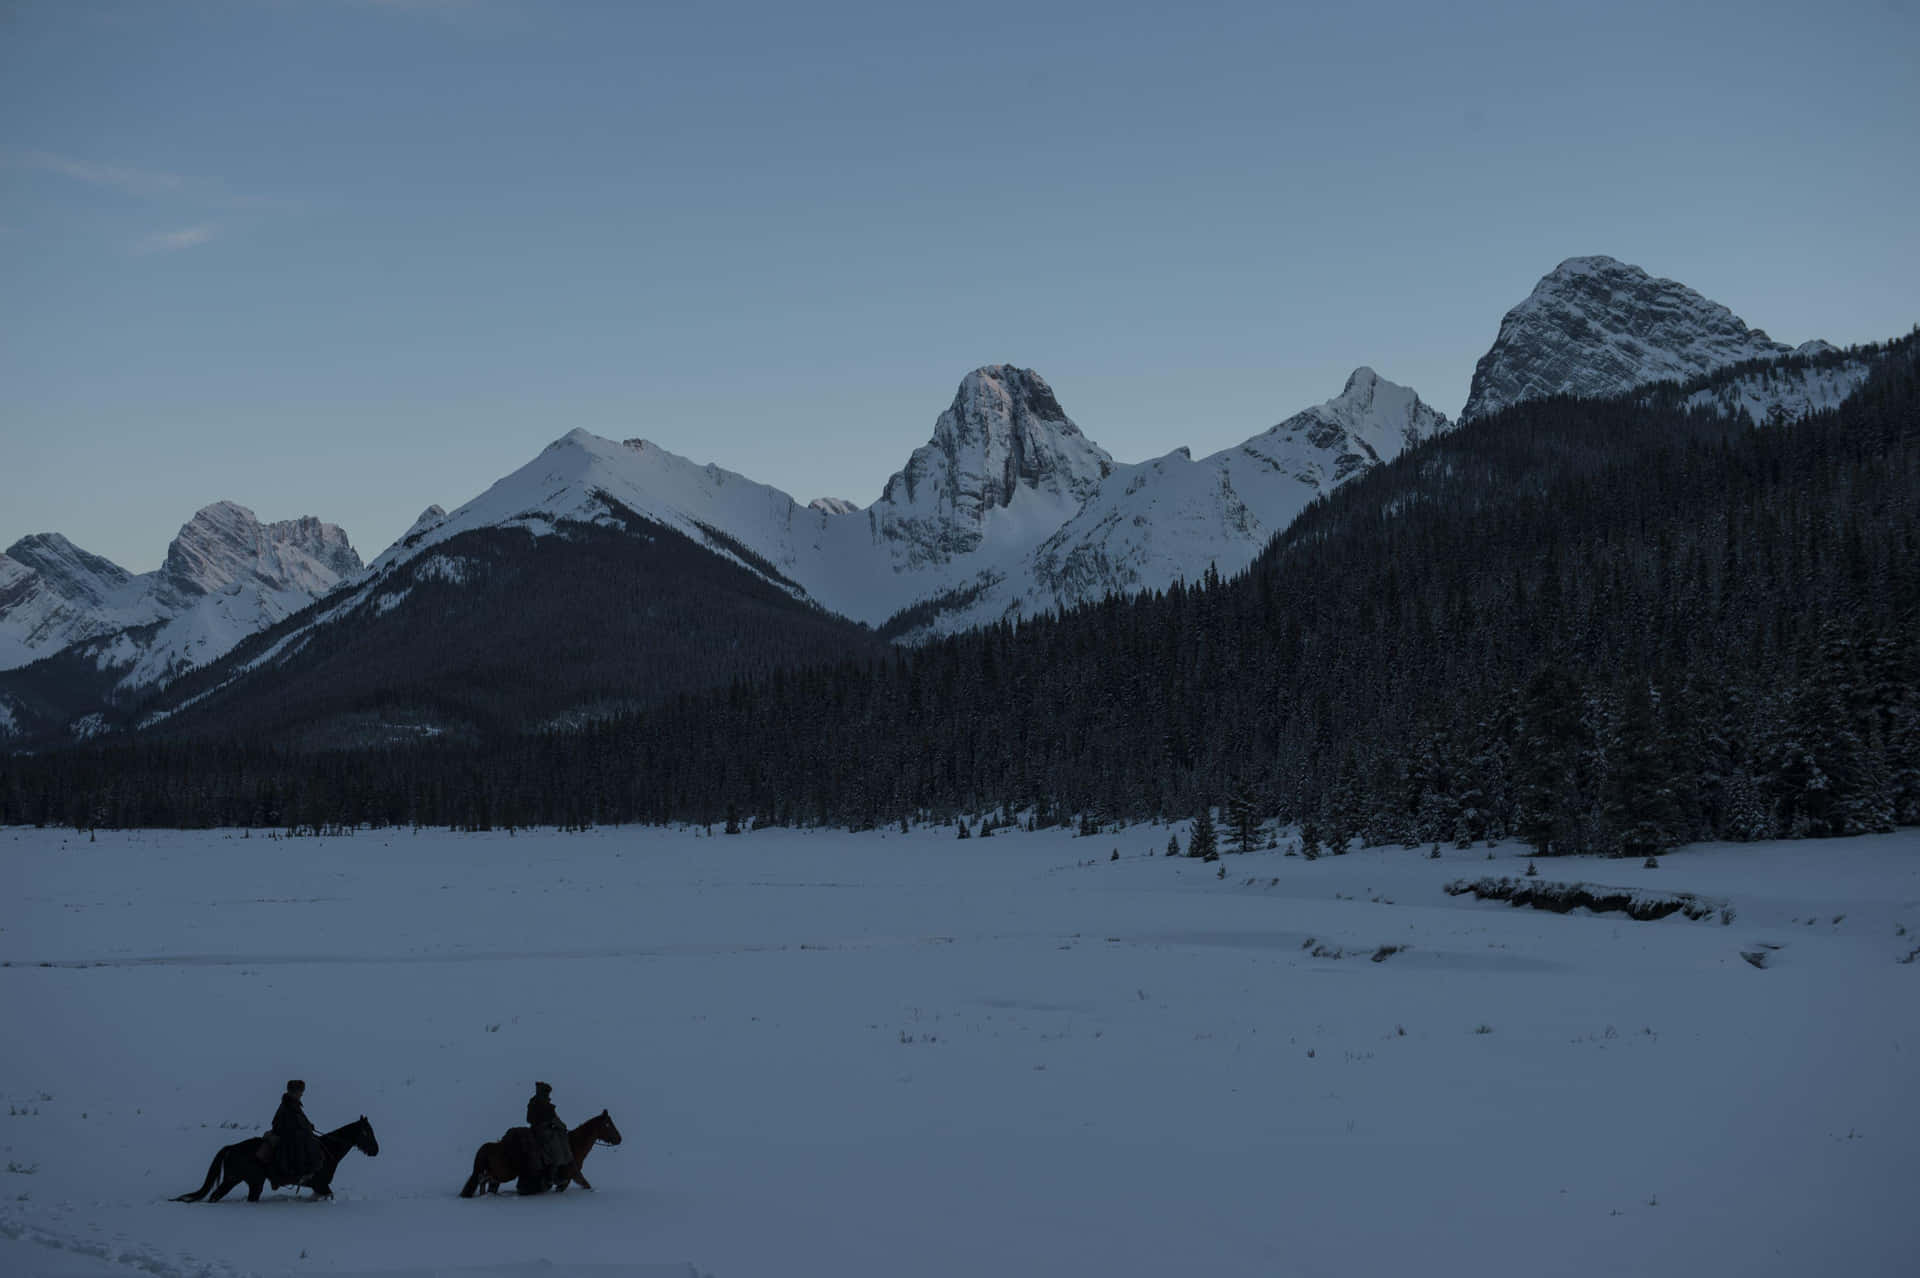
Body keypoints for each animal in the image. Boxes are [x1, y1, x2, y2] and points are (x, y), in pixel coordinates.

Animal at [174, 1112, 380, 1197]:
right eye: (366, 1132)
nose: (376, 1150)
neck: (328, 1150)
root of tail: (231, 1148)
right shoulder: (321, 1185)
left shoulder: (318, 1187)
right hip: (240, 1181)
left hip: (246, 1182)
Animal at [458, 1105, 622, 1197]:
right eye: (608, 1124)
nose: (619, 1139)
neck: (572, 1145)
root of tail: (486, 1149)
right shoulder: (571, 1175)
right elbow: (586, 1184)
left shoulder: (567, 1178)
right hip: (502, 1174)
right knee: (483, 1181)